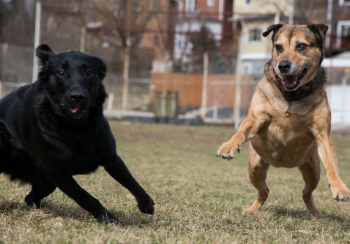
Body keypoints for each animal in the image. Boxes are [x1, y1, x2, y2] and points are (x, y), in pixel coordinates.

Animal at [0, 44, 154, 225]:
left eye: (89, 73)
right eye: (60, 72)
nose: (77, 97)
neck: (77, 128)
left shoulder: (111, 158)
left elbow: (134, 184)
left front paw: (147, 206)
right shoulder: (59, 174)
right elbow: (86, 198)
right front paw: (110, 220)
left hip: (44, 181)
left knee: (30, 198)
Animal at [217, 24, 348, 215]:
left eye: (301, 46)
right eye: (278, 47)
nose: (283, 66)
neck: (291, 96)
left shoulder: (322, 132)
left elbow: (332, 163)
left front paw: (340, 188)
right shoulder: (256, 118)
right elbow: (242, 129)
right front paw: (228, 147)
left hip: (312, 169)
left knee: (306, 193)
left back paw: (316, 213)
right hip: (255, 167)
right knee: (264, 191)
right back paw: (251, 210)